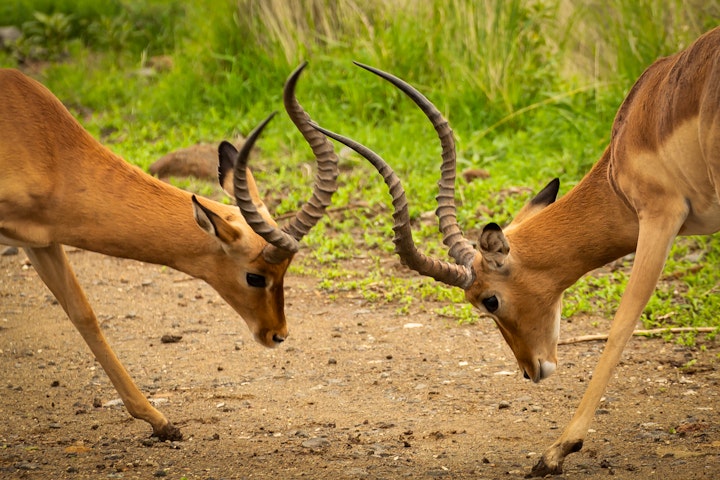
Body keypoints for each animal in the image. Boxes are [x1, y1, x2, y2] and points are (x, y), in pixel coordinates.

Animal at [0, 62, 338, 438]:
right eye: (255, 276)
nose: (277, 334)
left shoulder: (41, 240)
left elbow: (83, 313)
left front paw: (159, 421)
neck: (48, 150)